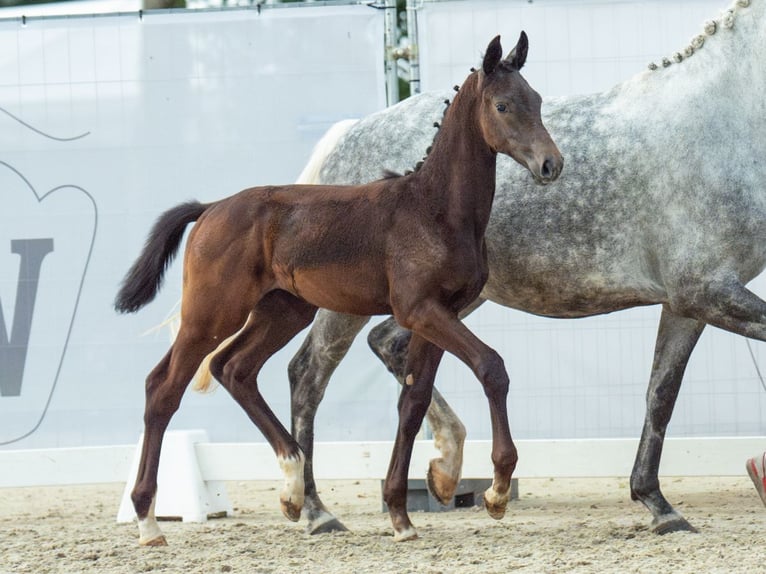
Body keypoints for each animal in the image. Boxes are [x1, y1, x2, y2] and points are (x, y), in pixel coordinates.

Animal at [115, 33, 564, 548]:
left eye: (538, 101)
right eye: (502, 105)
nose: (551, 164)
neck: (434, 209)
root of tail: (210, 208)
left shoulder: (437, 314)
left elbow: (412, 403)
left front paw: (400, 515)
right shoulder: (421, 310)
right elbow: (492, 367)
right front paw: (496, 492)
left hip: (284, 311)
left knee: (234, 369)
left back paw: (293, 489)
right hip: (211, 313)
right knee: (163, 388)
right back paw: (148, 521)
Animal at [288, 0, 766, 536]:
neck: (719, 120)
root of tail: (347, 135)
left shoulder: (688, 302)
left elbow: (660, 394)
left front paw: (659, 505)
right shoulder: (706, 290)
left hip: (449, 300)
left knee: (389, 345)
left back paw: (445, 470)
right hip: (348, 304)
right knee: (308, 375)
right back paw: (316, 510)